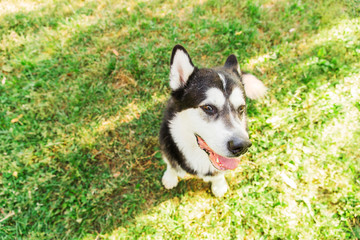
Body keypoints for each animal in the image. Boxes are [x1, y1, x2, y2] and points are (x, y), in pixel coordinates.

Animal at [159, 45, 266, 197]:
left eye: (241, 108)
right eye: (208, 108)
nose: (242, 146)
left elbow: (219, 174)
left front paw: (219, 185)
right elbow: (171, 164)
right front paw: (170, 177)